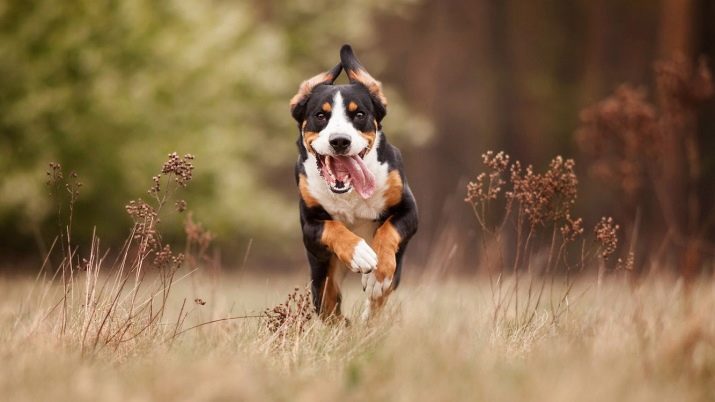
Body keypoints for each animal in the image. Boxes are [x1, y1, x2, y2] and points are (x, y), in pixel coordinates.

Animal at [290, 45, 418, 322]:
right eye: (320, 115)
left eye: (359, 114)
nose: (340, 140)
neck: (349, 194)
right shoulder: (309, 224)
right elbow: (332, 227)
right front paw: (359, 252)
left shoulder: (409, 210)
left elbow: (387, 231)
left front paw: (377, 273)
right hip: (321, 278)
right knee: (330, 308)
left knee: (378, 300)